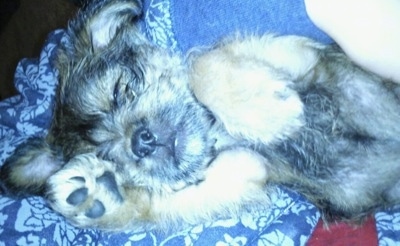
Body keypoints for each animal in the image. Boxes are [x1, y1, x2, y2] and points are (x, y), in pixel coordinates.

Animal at [0, 0, 400, 233]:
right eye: (106, 155)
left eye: (121, 90)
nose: (139, 142)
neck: (218, 132)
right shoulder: (248, 169)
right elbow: (165, 202)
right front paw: (101, 194)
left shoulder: (305, 57)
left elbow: (199, 63)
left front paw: (265, 111)